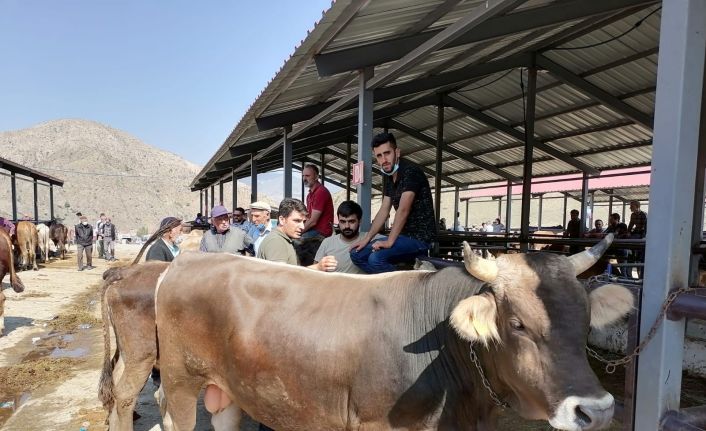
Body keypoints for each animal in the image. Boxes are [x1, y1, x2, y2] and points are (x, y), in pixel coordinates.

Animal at [155, 234, 634, 431]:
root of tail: (186, 260)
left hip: (230, 389)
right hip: (180, 383)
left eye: (586, 322)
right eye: (516, 324)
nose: (597, 412)